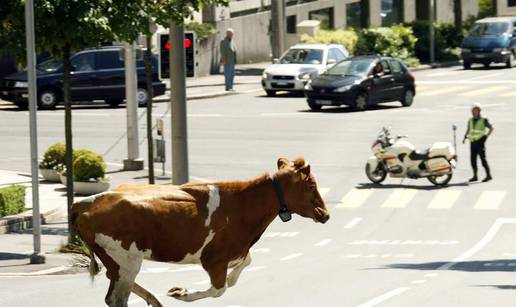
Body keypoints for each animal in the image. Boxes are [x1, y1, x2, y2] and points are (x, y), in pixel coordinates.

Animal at [71, 159, 330, 307]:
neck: (243, 205)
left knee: (112, 287)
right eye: (310, 185)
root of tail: (83, 203)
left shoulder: (236, 252)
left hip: (117, 261)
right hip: (127, 259)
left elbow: (243, 266)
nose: (326, 214)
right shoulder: (214, 260)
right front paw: (181, 293)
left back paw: (154, 300)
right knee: (117, 298)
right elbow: (219, 289)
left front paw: (177, 291)